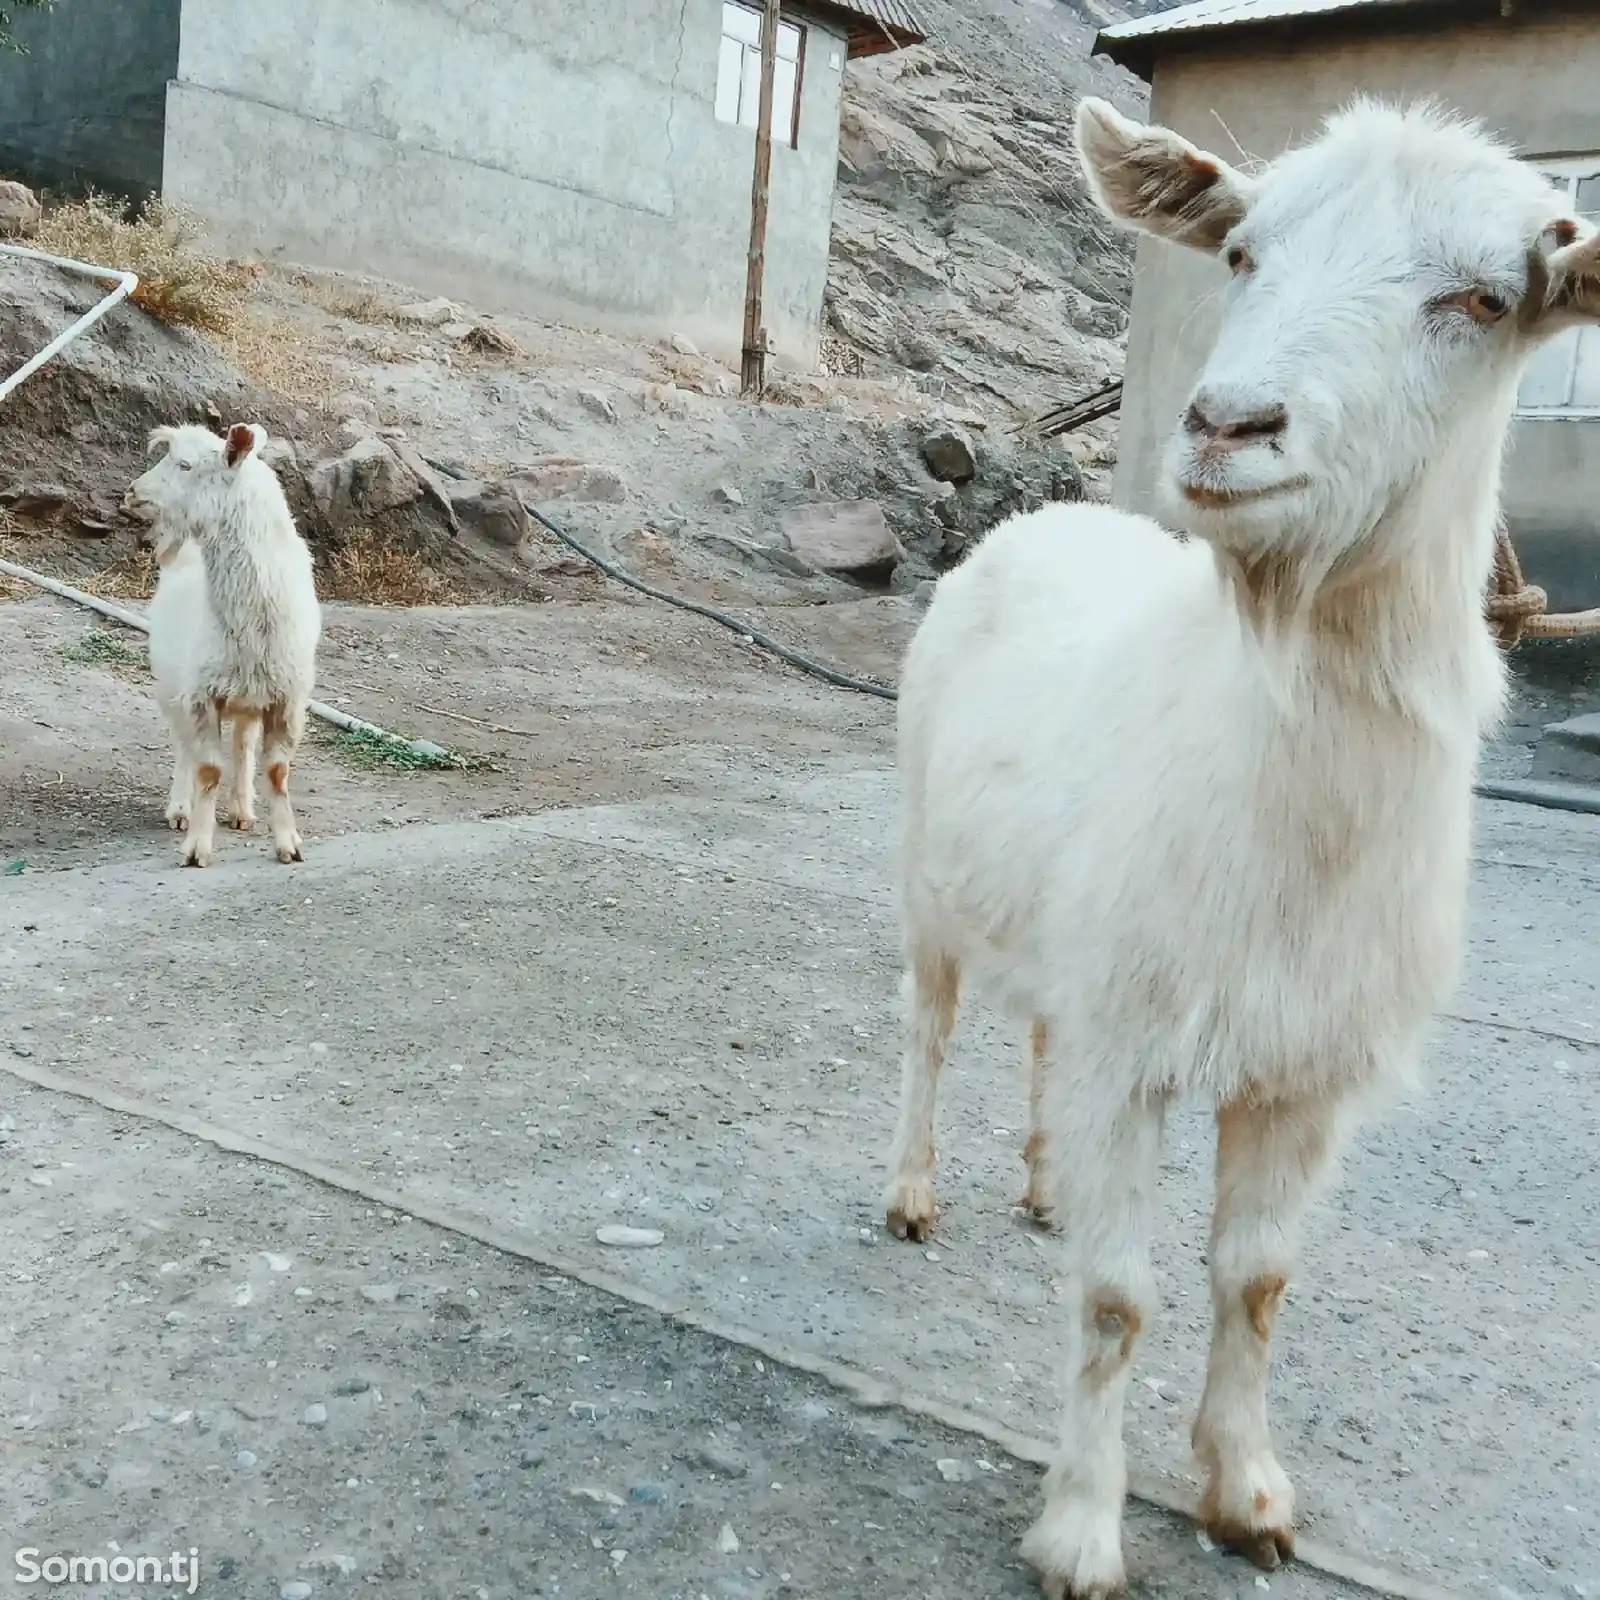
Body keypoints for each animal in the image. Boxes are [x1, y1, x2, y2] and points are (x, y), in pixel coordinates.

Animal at [129, 422, 323, 864]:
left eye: (183, 465)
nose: (132, 492)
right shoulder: (201, 694)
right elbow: (208, 769)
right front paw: (197, 848)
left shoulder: (288, 696)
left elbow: (277, 770)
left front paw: (288, 844)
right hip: (173, 687)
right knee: (184, 746)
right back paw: (181, 809)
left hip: (249, 693)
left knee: (244, 744)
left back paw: (242, 809)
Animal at [883, 103, 1593, 1600]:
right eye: (1242, 252)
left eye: (1484, 300)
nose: (1226, 426)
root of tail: (1043, 519)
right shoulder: (1140, 1041)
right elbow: (1117, 1297)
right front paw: (1082, 1533)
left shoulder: (1302, 1066)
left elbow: (1254, 1282)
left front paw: (1246, 1494)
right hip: (925, 863)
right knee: (930, 1023)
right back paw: (912, 1193)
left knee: (1040, 1037)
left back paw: (1047, 1185)